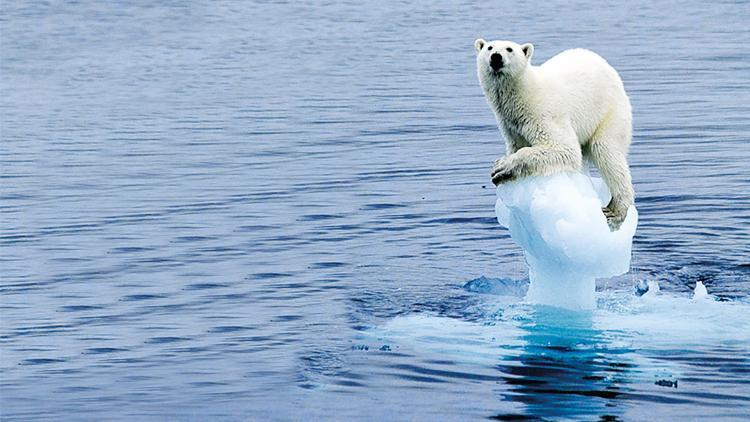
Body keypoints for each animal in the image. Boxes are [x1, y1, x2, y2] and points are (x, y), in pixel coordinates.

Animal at [476, 38, 636, 231]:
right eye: (489, 47)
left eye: (509, 49)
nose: (496, 57)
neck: (524, 93)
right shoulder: (511, 125)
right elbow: (517, 145)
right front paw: (503, 174)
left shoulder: (542, 113)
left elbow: (563, 148)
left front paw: (501, 166)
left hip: (610, 112)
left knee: (608, 153)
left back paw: (615, 211)